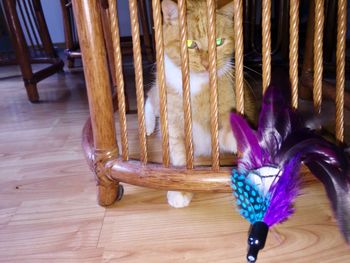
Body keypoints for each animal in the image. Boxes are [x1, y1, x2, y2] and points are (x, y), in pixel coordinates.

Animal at [144, 0, 256, 209]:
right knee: (150, 96)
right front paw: (180, 190)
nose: (206, 64)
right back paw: (147, 126)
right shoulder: (174, 125)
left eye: (218, 42)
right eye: (190, 44)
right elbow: (179, 159)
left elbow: (229, 132)